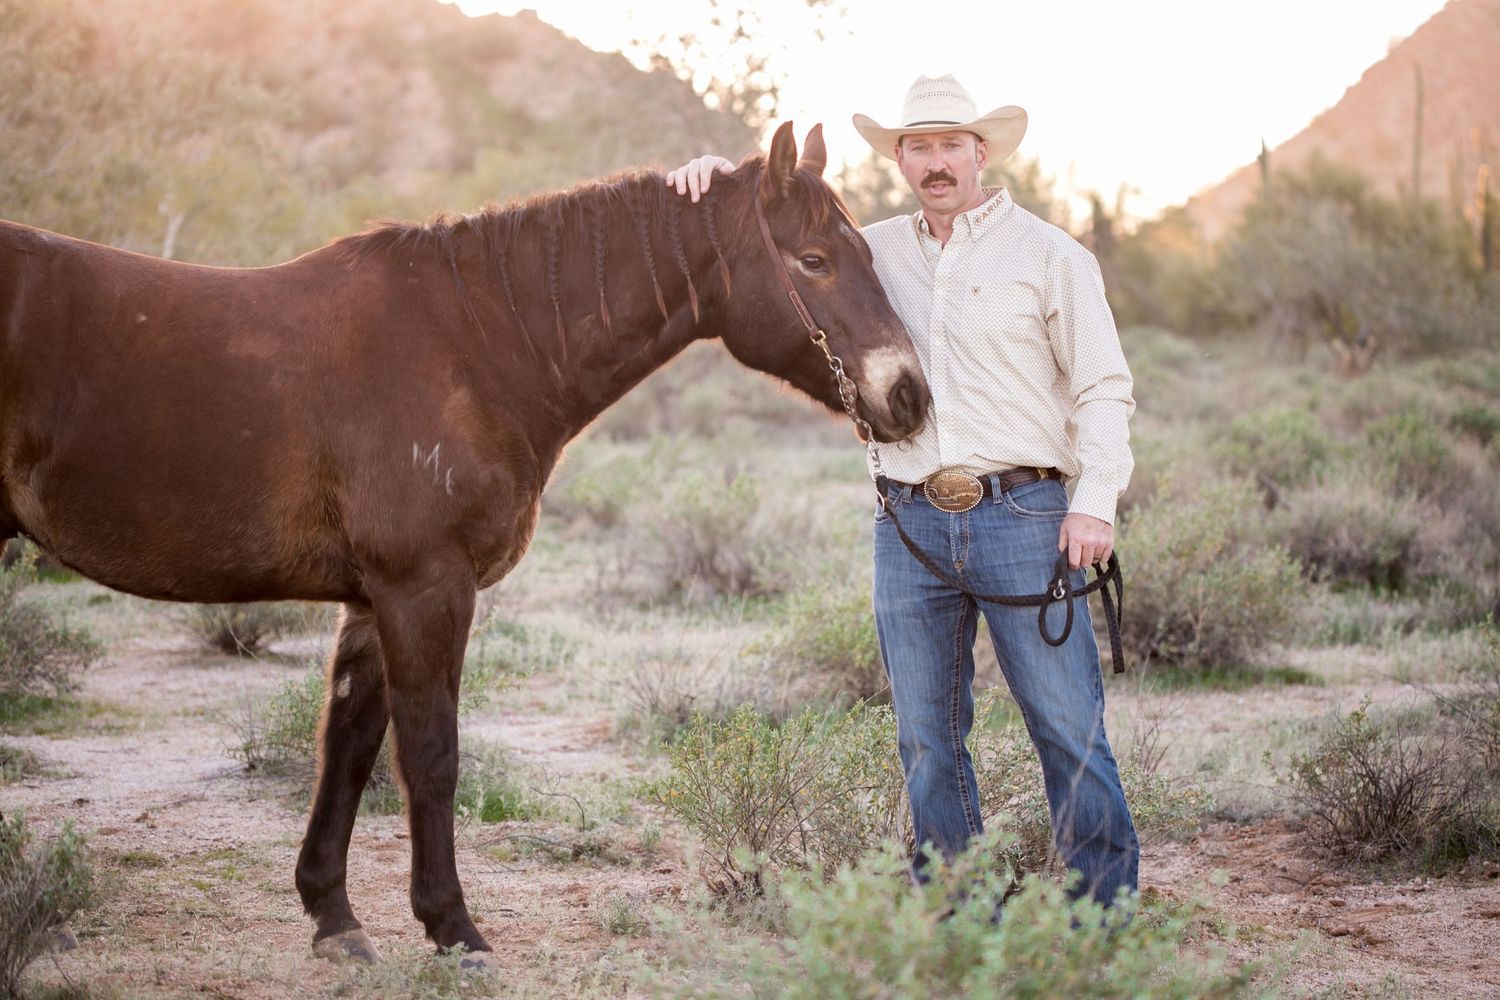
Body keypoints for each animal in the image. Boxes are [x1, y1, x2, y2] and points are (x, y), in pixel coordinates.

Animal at [0, 122, 929, 968]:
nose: (909, 396)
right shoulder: (424, 589)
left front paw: (335, 918)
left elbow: (349, 749)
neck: (478, 343)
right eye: (814, 260)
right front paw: (453, 928)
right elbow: (431, 756)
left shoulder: (372, 602)